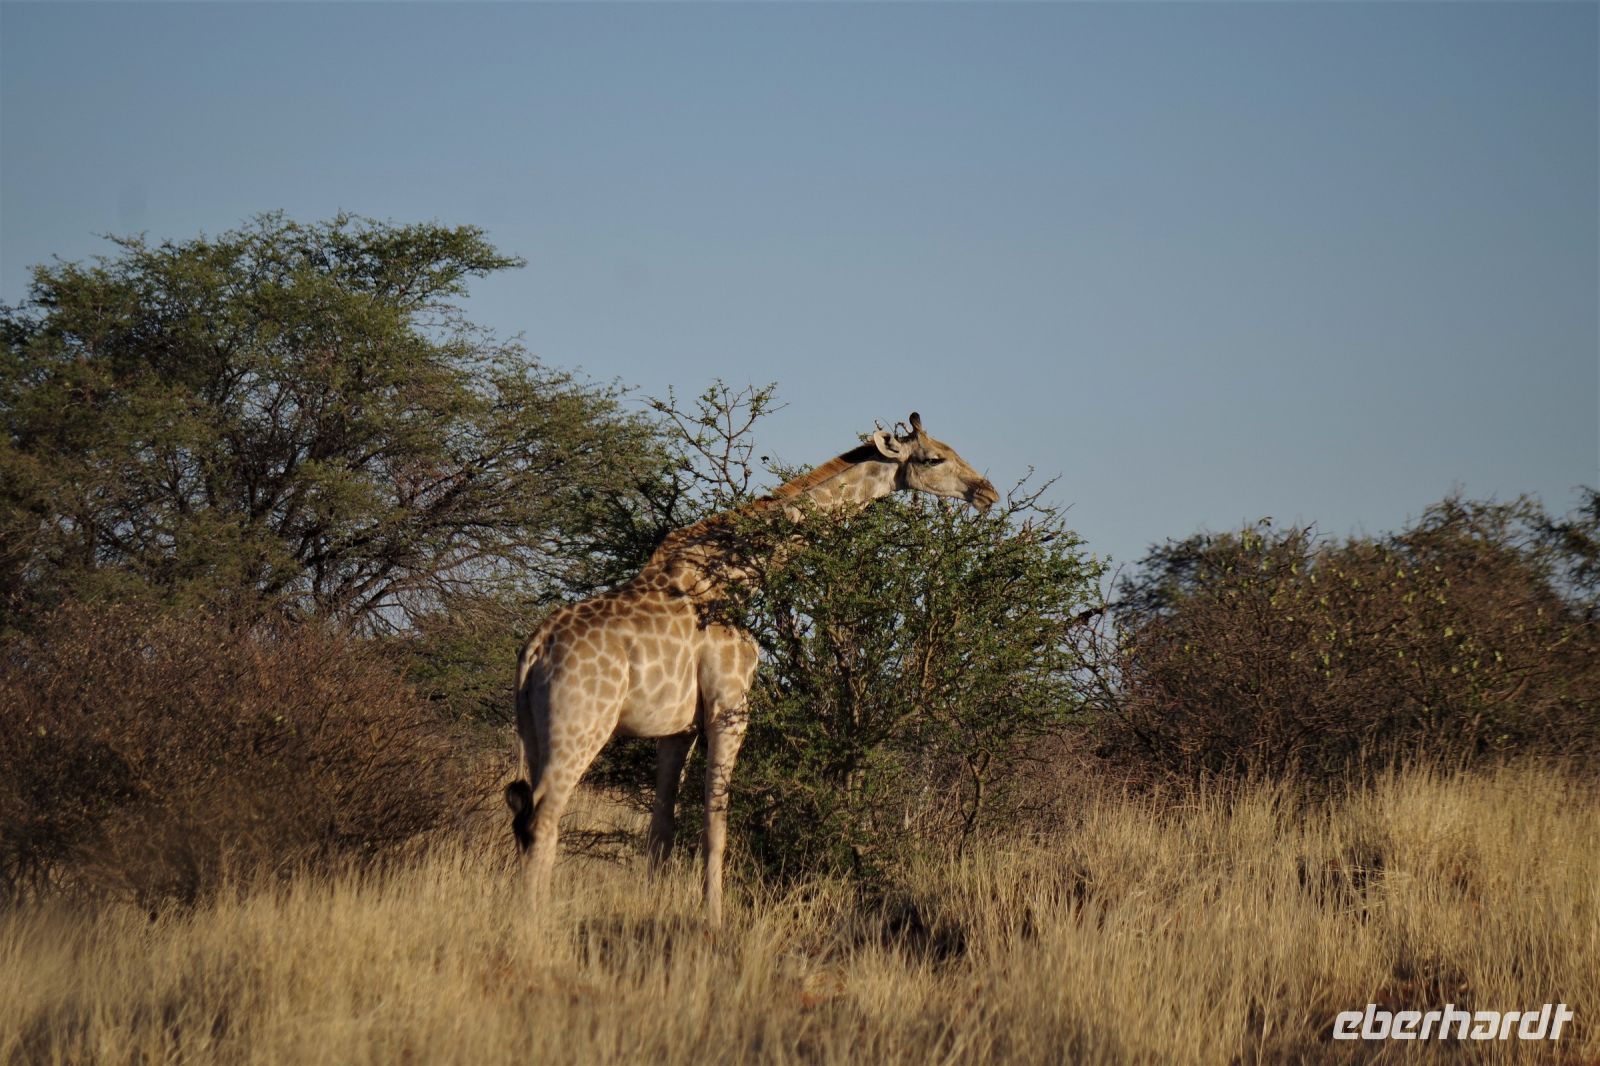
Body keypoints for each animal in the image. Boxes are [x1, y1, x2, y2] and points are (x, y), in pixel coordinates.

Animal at [504, 412, 998, 926]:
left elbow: (662, 826)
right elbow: (716, 820)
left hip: (532, 731)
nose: (987, 492)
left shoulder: (677, 728)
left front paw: (656, 911)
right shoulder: (730, 707)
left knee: (523, 812)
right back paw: (533, 925)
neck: (740, 574)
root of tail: (533, 651)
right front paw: (714, 919)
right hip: (582, 726)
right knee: (543, 816)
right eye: (934, 458)